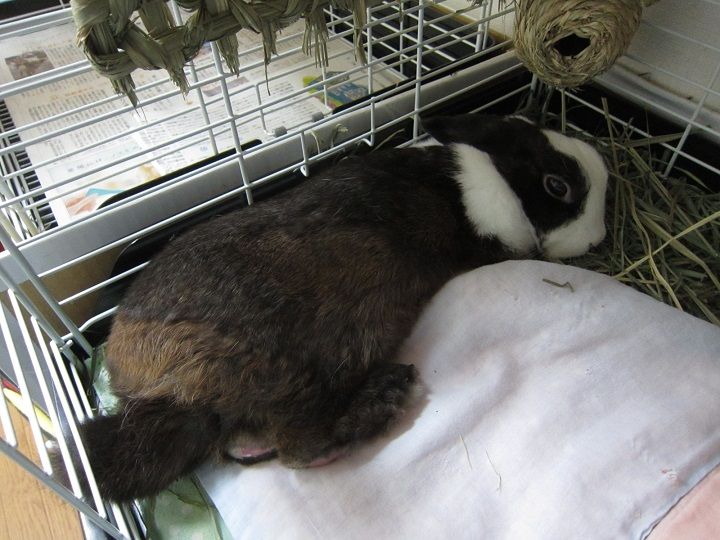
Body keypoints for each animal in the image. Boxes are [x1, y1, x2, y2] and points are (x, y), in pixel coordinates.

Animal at [80, 114, 608, 501]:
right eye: (557, 185)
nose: (598, 238)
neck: (497, 180)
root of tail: (156, 397)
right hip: (297, 369)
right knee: (297, 445)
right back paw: (383, 399)